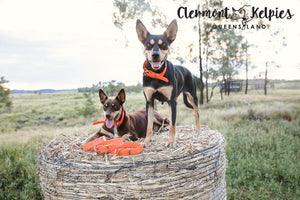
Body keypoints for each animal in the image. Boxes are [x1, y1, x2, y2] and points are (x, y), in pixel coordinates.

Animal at [137, 18, 200, 147]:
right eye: (149, 45)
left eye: (163, 44)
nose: (155, 55)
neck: (157, 74)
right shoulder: (149, 102)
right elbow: (149, 125)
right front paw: (147, 141)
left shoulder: (172, 101)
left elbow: (173, 124)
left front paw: (171, 142)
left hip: (193, 96)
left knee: (196, 113)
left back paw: (198, 130)